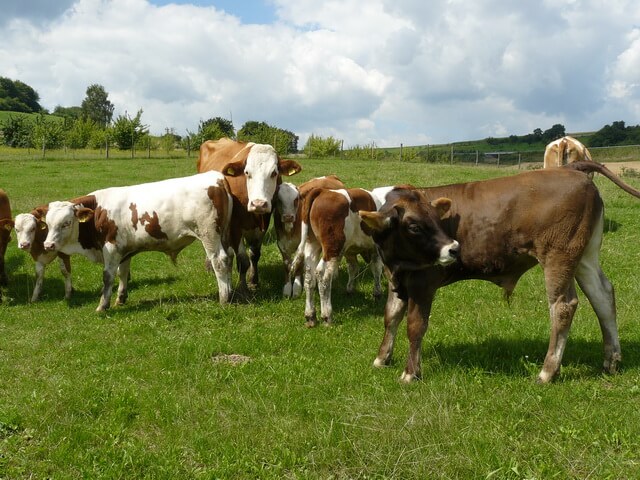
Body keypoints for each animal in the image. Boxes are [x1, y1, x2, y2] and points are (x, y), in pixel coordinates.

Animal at [43, 172, 236, 312]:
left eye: (66, 223)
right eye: (48, 223)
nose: (48, 245)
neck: (99, 211)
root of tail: (216, 177)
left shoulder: (111, 247)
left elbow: (108, 277)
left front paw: (102, 306)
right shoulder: (123, 249)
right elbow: (123, 273)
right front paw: (120, 298)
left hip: (209, 234)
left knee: (219, 261)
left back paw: (223, 298)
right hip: (224, 236)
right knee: (229, 258)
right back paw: (231, 292)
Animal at [198, 137, 302, 294]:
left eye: (274, 173)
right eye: (247, 172)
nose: (258, 203)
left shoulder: (263, 225)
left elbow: (255, 255)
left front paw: (253, 280)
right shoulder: (235, 227)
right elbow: (243, 260)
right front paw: (243, 289)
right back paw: (209, 266)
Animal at [360, 163, 640, 384]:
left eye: (437, 220)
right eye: (414, 226)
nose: (454, 248)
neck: (396, 260)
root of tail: (570, 169)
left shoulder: (423, 283)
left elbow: (415, 326)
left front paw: (410, 373)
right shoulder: (396, 279)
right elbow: (391, 316)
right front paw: (381, 358)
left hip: (559, 257)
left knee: (563, 306)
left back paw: (547, 371)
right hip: (584, 257)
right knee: (603, 296)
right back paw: (611, 360)